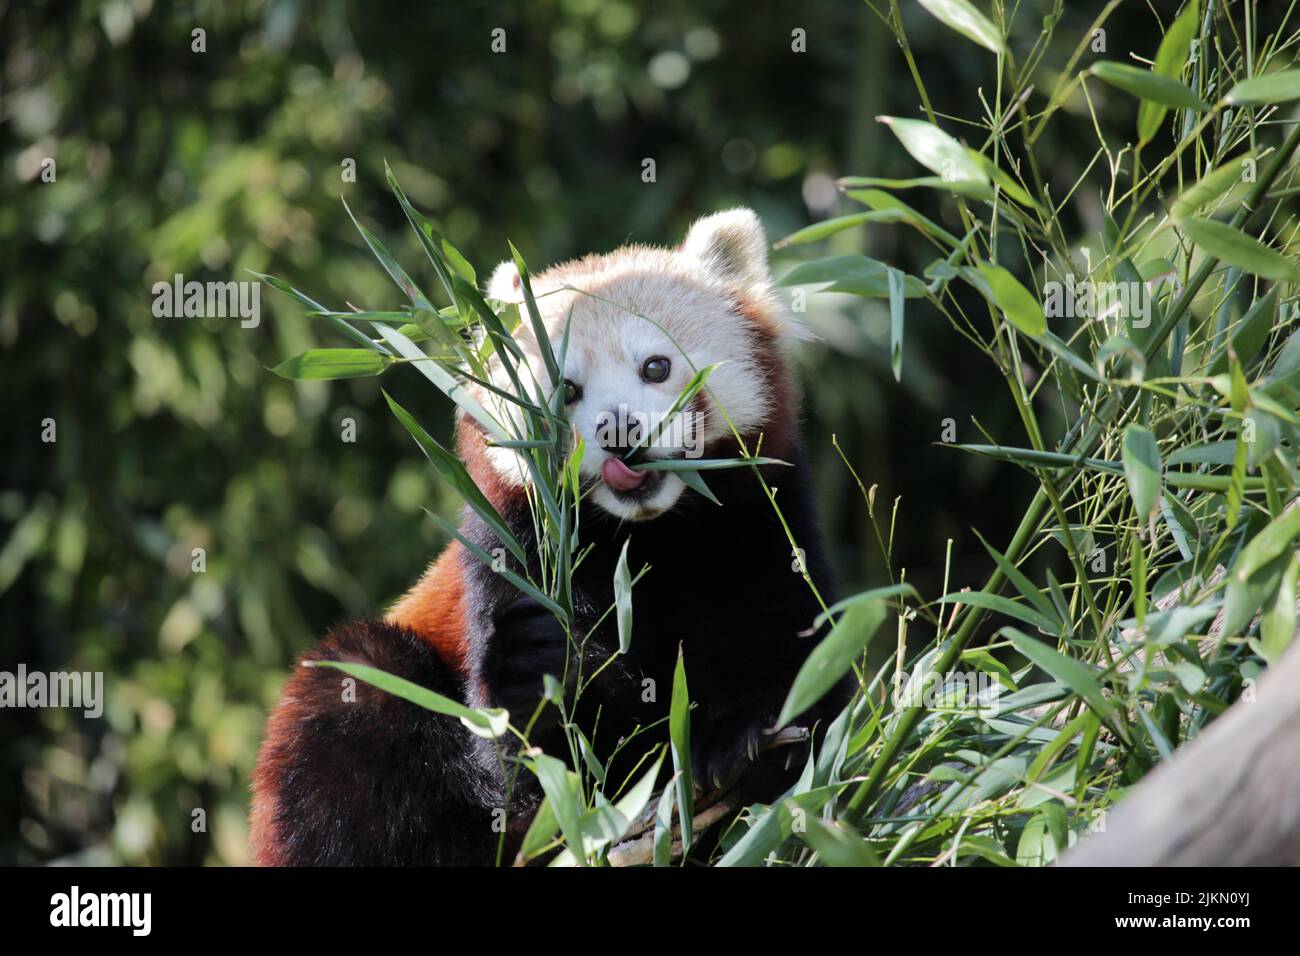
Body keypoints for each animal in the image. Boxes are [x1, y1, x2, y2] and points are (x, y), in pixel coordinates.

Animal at [250, 209, 846, 865]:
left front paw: (741, 736)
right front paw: (543, 662)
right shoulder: (508, 552)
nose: (618, 431)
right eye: (567, 391)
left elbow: (803, 663)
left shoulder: (763, 526)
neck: (648, 537)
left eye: (656, 367)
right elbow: (543, 772)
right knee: (353, 698)